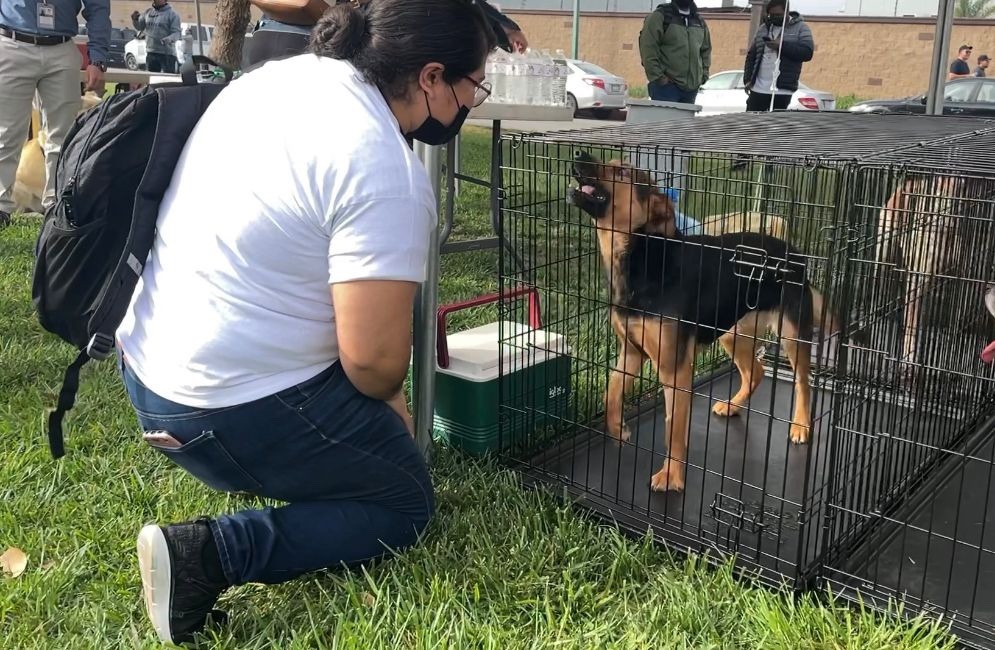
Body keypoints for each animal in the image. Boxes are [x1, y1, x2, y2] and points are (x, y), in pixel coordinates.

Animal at [568, 149, 840, 488]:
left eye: (623, 173)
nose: (579, 153)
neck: (642, 260)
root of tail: (795, 252)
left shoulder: (674, 369)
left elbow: (673, 428)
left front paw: (671, 475)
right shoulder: (631, 352)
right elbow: (611, 394)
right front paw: (618, 429)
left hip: (792, 332)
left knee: (803, 382)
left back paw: (801, 426)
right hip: (732, 334)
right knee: (756, 372)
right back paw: (733, 406)